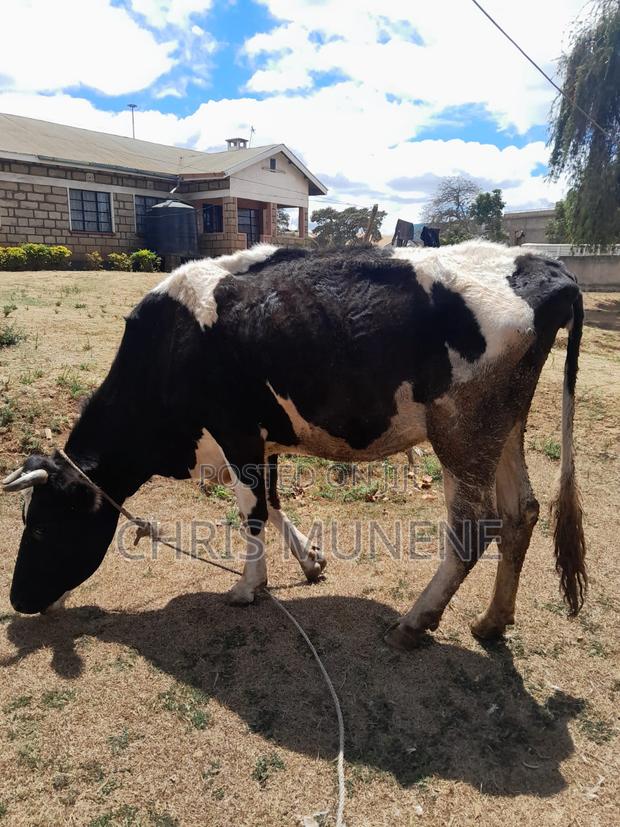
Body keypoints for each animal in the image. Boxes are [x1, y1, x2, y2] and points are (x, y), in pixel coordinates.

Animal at [2, 240, 586, 650]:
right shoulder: (265, 436)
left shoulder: (236, 431)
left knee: (473, 527)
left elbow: (253, 512)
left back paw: (414, 622)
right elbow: (275, 502)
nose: (20, 601)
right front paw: (310, 561)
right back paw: (492, 621)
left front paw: (246, 588)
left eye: (44, 525)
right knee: (521, 512)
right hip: (505, 425)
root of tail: (545, 266)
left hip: (462, 433)